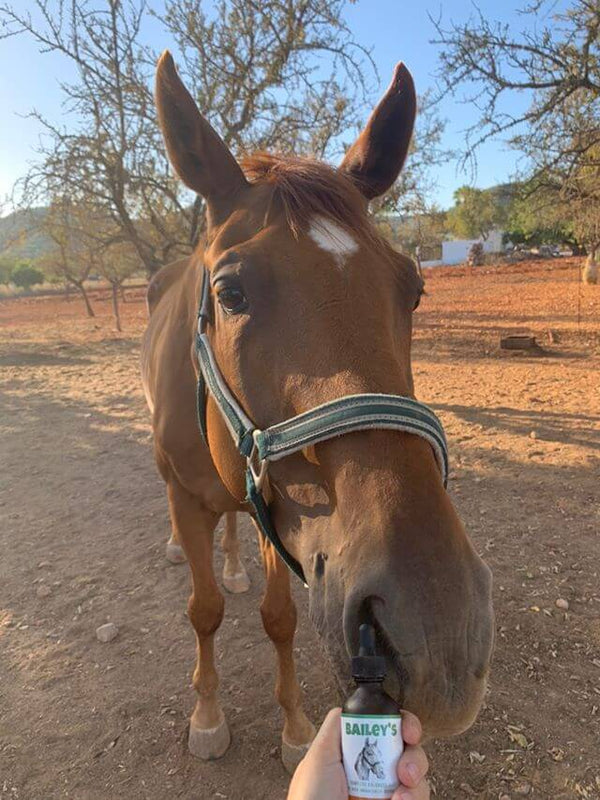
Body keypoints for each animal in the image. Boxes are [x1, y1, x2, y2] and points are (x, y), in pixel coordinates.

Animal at [141, 50, 495, 772]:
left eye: (414, 289)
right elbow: (203, 610)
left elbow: (278, 619)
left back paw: (235, 564)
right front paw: (208, 715)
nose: (437, 628)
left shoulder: (281, 514)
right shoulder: (196, 500)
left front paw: (296, 727)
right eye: (230, 291)